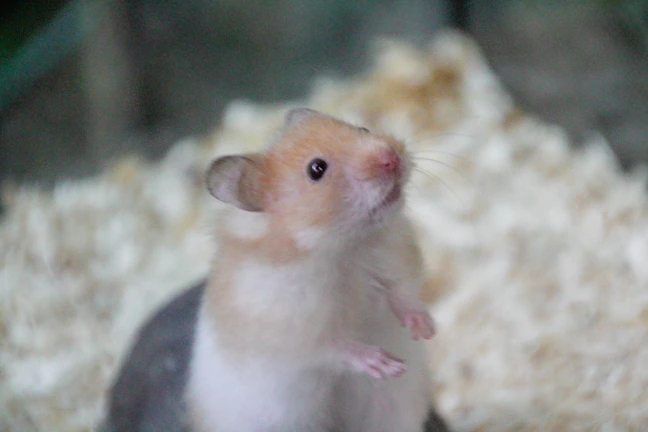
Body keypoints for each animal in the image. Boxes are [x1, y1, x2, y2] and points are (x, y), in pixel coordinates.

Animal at [185, 108, 436, 432]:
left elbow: (402, 292)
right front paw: (384, 364)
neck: (345, 247)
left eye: (363, 129)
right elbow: (336, 346)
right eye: (317, 169)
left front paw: (425, 329)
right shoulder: (296, 329)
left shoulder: (396, 259)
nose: (390, 157)